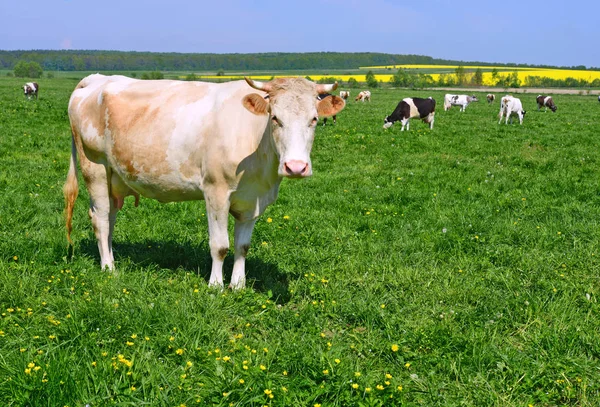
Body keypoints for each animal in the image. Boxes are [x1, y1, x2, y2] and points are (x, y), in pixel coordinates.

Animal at [63, 73, 344, 290]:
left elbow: (243, 246)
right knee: (100, 219)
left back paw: (111, 258)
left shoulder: (252, 199)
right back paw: (108, 268)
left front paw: (238, 285)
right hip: (95, 167)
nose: (295, 167)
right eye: (275, 118)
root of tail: (97, 79)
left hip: (115, 178)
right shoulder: (215, 190)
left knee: (110, 218)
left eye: (314, 119)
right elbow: (220, 245)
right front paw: (216, 286)